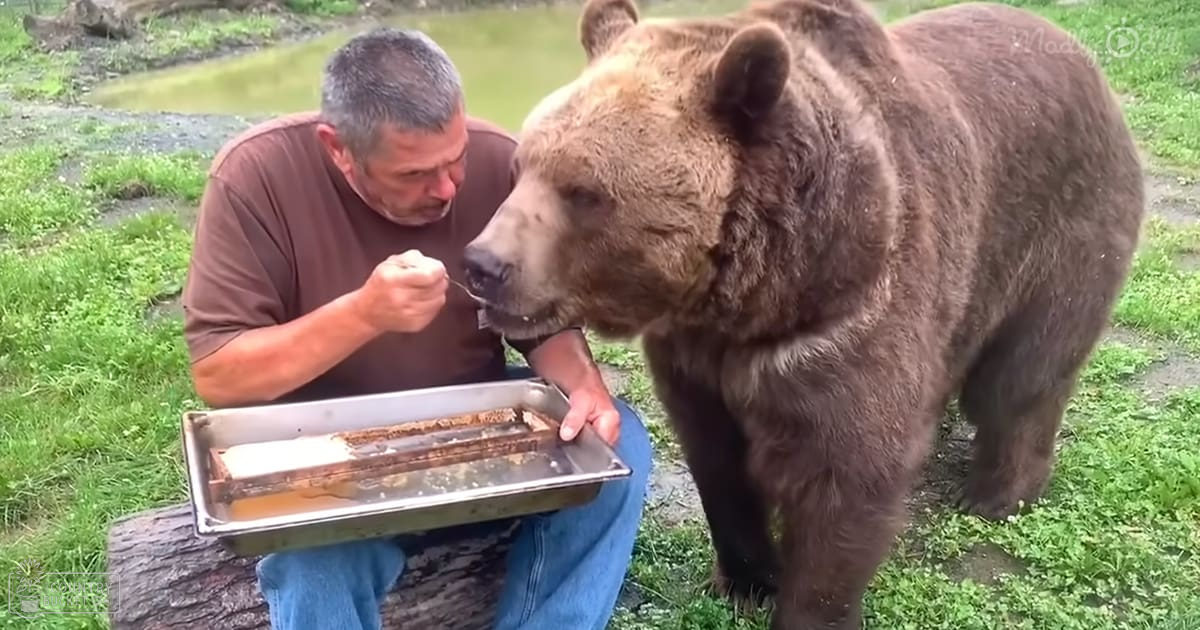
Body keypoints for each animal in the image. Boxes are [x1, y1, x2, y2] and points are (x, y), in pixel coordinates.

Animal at [462, 0, 1145, 627]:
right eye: (521, 166)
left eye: (584, 192)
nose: (483, 263)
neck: (755, 296)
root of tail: (1079, 53)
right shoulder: (695, 356)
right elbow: (718, 460)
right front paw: (743, 580)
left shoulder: (850, 323)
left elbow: (844, 477)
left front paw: (804, 602)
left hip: (1057, 230)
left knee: (1021, 378)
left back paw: (997, 493)